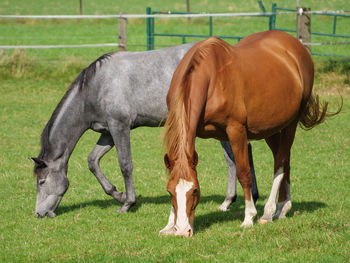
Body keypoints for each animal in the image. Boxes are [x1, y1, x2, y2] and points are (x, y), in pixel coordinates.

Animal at [30, 41, 260, 219]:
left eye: (42, 181)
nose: (39, 213)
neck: (95, 88)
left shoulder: (120, 127)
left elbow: (125, 165)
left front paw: (127, 203)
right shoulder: (108, 133)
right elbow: (93, 161)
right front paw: (118, 194)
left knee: (234, 156)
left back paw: (232, 200)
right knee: (239, 154)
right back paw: (238, 199)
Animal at [162, 30, 340, 237]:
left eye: (195, 191)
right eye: (169, 192)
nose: (183, 231)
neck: (212, 77)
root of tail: (296, 46)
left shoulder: (236, 130)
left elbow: (244, 172)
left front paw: (249, 217)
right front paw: (169, 225)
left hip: (291, 123)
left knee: (280, 163)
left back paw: (270, 211)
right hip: (271, 129)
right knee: (284, 159)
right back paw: (283, 207)